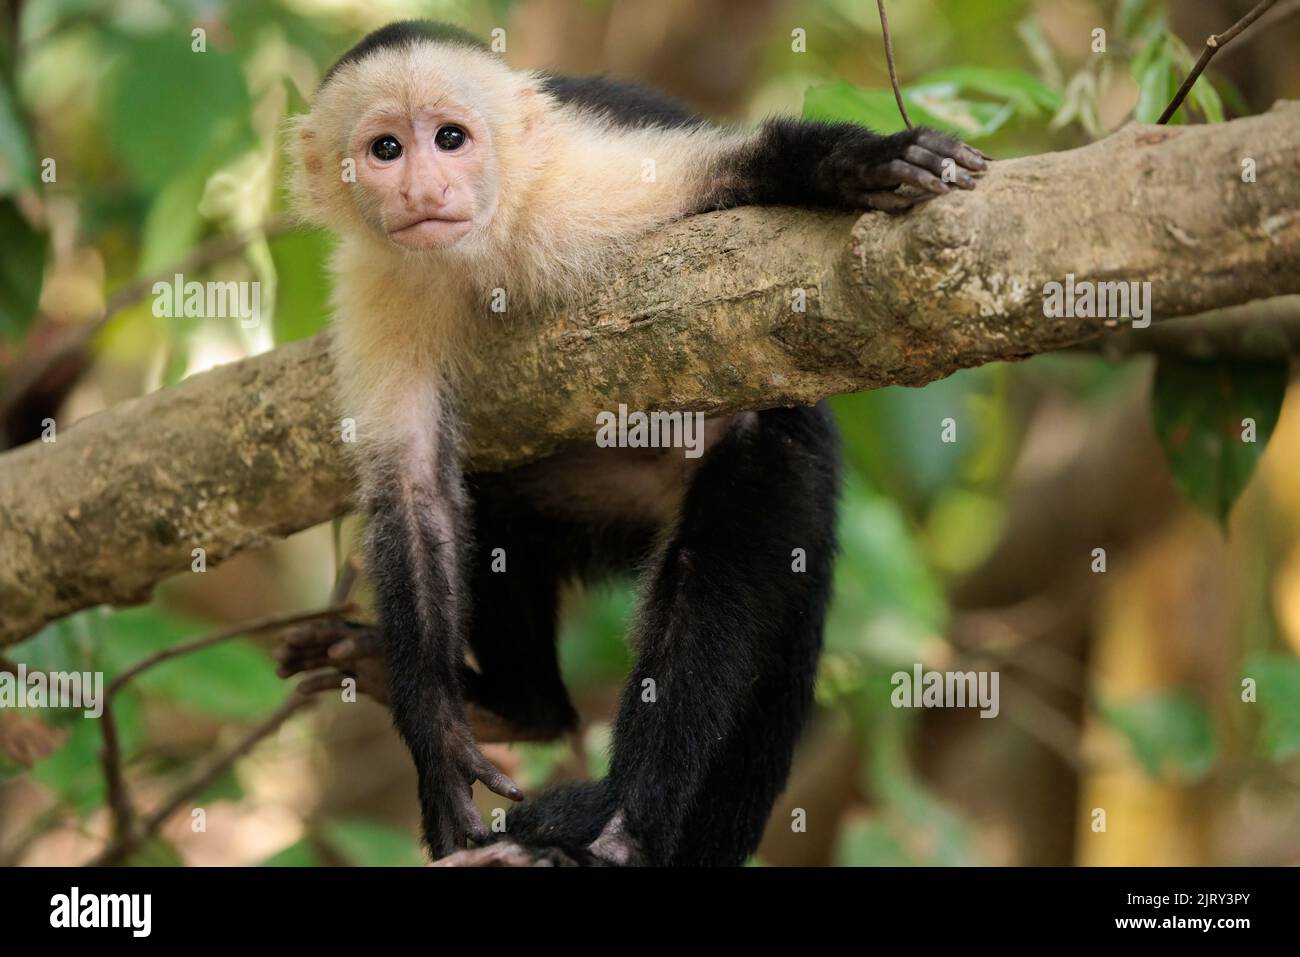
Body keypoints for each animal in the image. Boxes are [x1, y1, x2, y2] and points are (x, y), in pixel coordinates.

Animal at [282, 18, 982, 868]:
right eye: (386, 149)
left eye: (450, 138)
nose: (422, 190)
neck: (483, 249)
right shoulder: (378, 285)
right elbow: (416, 493)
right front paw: (440, 741)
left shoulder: (577, 188)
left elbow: (734, 171)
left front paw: (860, 164)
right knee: (493, 500)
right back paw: (521, 708)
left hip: (780, 470)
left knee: (732, 525)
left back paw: (623, 831)